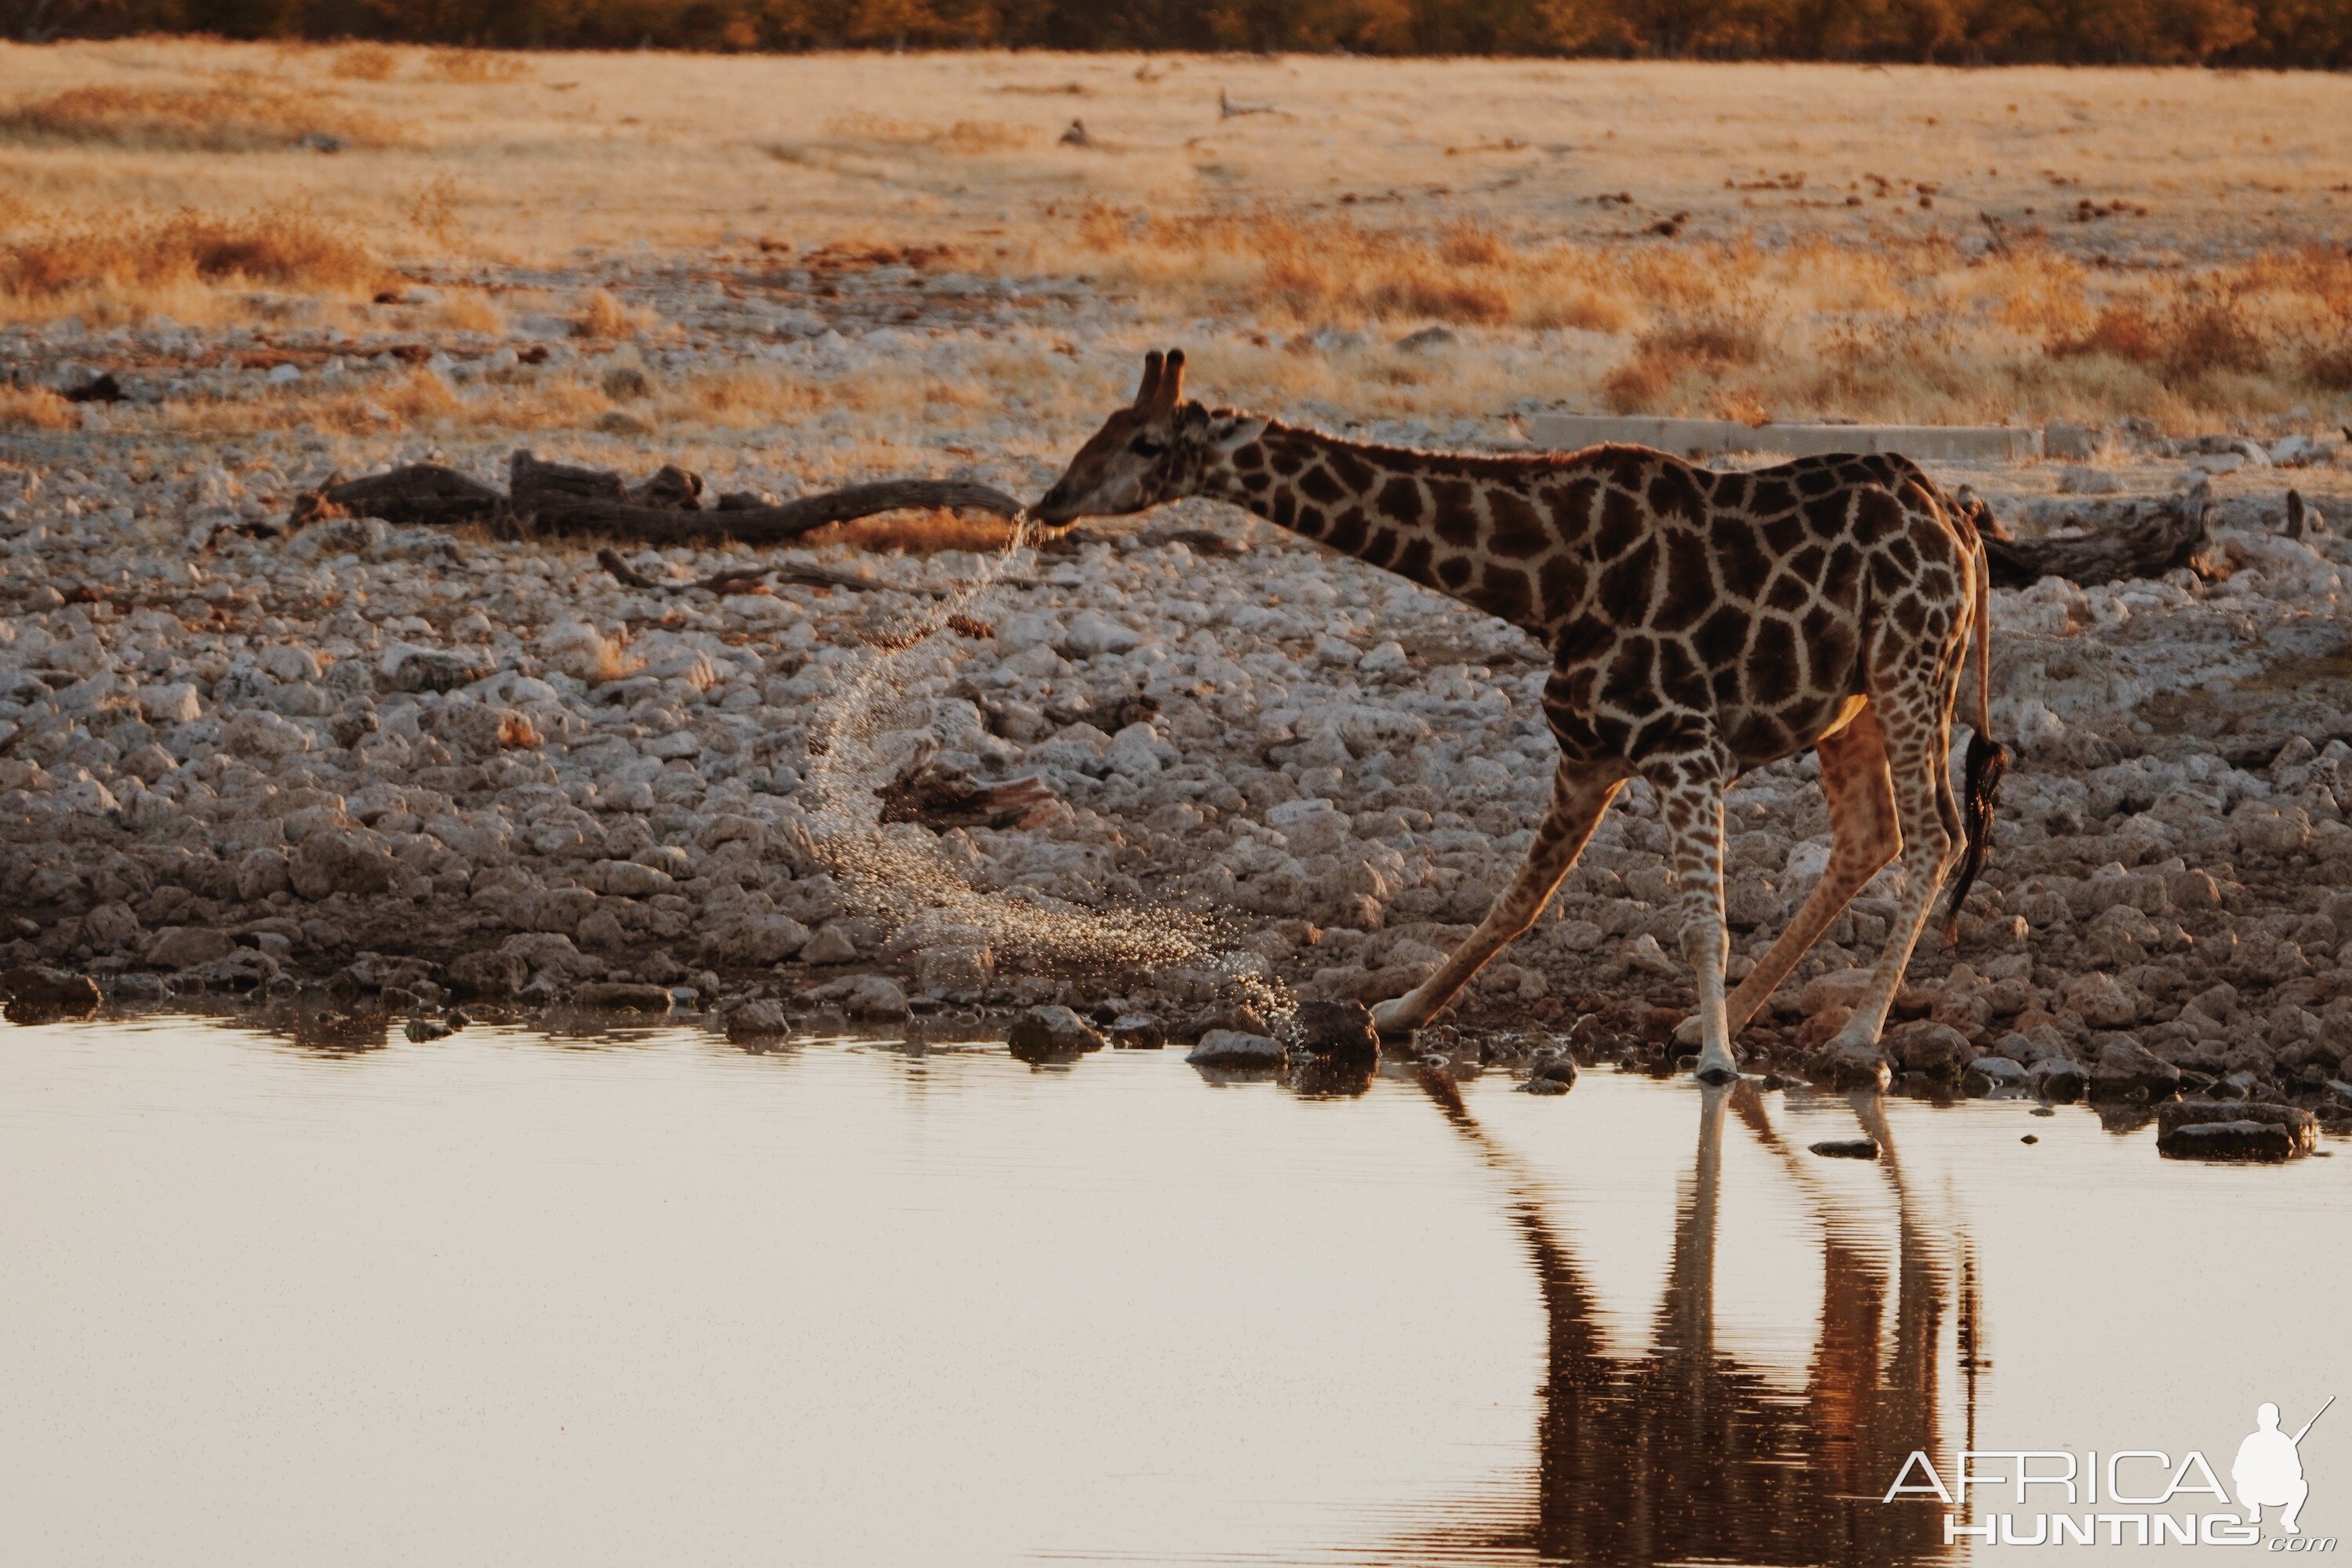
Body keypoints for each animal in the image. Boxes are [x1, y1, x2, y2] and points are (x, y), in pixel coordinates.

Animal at [1040, 345, 2013, 1081]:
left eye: (1148, 443)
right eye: (1104, 429)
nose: (1051, 501)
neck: (1548, 584)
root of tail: (1959, 522)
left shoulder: (1683, 746)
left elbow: (1701, 919)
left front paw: (1720, 1067)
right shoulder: (1588, 753)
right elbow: (1519, 899)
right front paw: (1401, 1009)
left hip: (1910, 664)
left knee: (1935, 835)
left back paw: (1851, 1036)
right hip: (1855, 699)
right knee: (1871, 836)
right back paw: (1724, 1021)